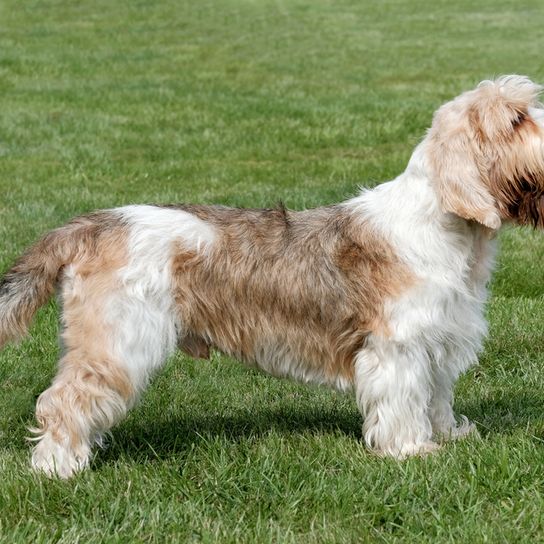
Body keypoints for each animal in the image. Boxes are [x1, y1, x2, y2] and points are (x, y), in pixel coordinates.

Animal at [1, 73, 544, 476]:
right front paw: (412, 451)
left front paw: (451, 435)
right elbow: (405, 399)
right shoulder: (399, 347)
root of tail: (95, 223)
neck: (446, 229)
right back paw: (58, 467)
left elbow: (437, 397)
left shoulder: (441, 341)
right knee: (63, 400)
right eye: (516, 119)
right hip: (117, 342)